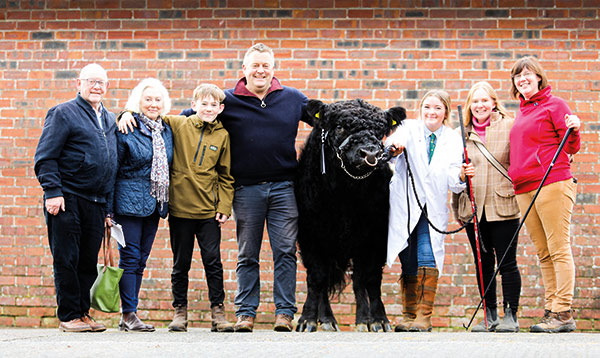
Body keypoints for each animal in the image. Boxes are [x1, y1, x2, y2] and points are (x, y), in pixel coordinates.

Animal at [294, 98, 406, 332]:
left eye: (380, 130)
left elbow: (368, 278)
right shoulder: (311, 236)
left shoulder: (376, 237)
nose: (370, 153)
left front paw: (376, 320)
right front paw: (307, 319)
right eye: (339, 127)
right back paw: (327, 319)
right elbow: (317, 277)